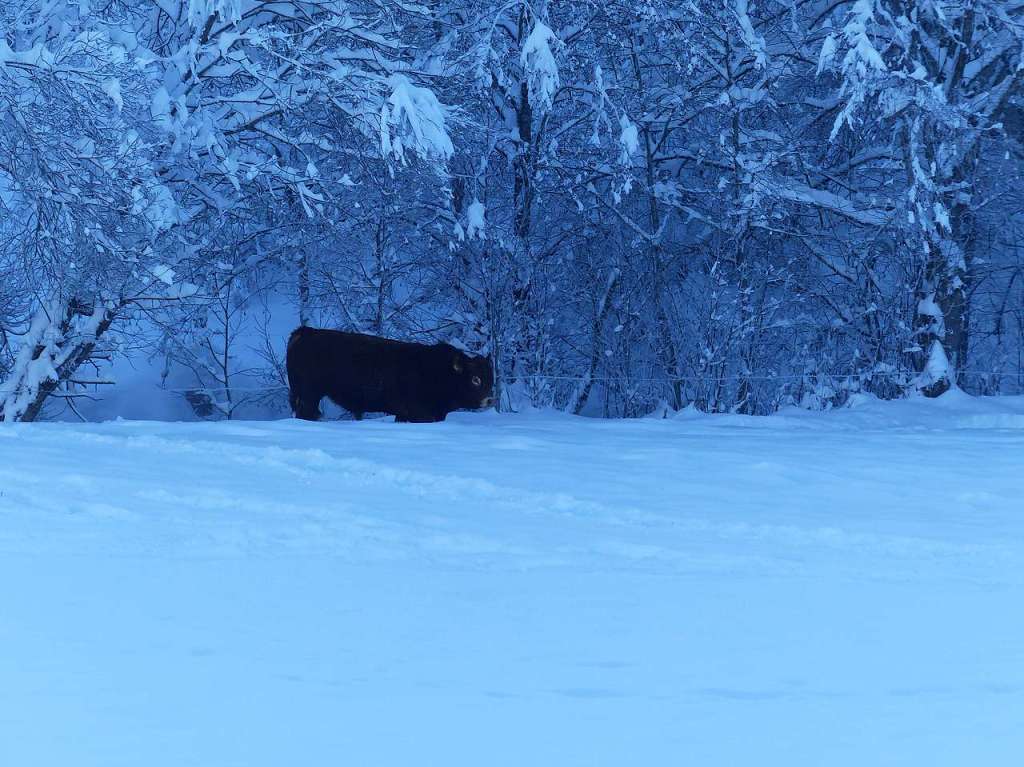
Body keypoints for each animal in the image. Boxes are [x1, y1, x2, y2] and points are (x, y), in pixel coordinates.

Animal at [288, 325, 495, 421]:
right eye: (475, 379)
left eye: (490, 379)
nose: (490, 399)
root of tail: (306, 331)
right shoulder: (420, 413)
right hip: (309, 394)